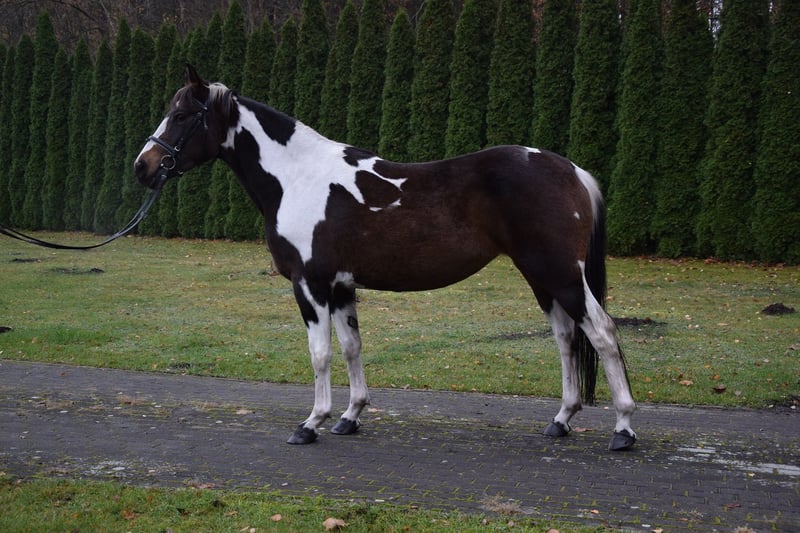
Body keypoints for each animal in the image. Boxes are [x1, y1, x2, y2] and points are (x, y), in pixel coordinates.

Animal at [134, 66, 637, 451]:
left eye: (182, 115)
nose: (144, 166)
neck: (297, 177)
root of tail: (572, 170)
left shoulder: (310, 284)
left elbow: (319, 353)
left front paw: (311, 423)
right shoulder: (341, 286)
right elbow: (352, 347)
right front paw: (350, 416)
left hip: (562, 275)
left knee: (602, 332)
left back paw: (624, 429)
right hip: (541, 277)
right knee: (567, 338)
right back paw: (561, 420)